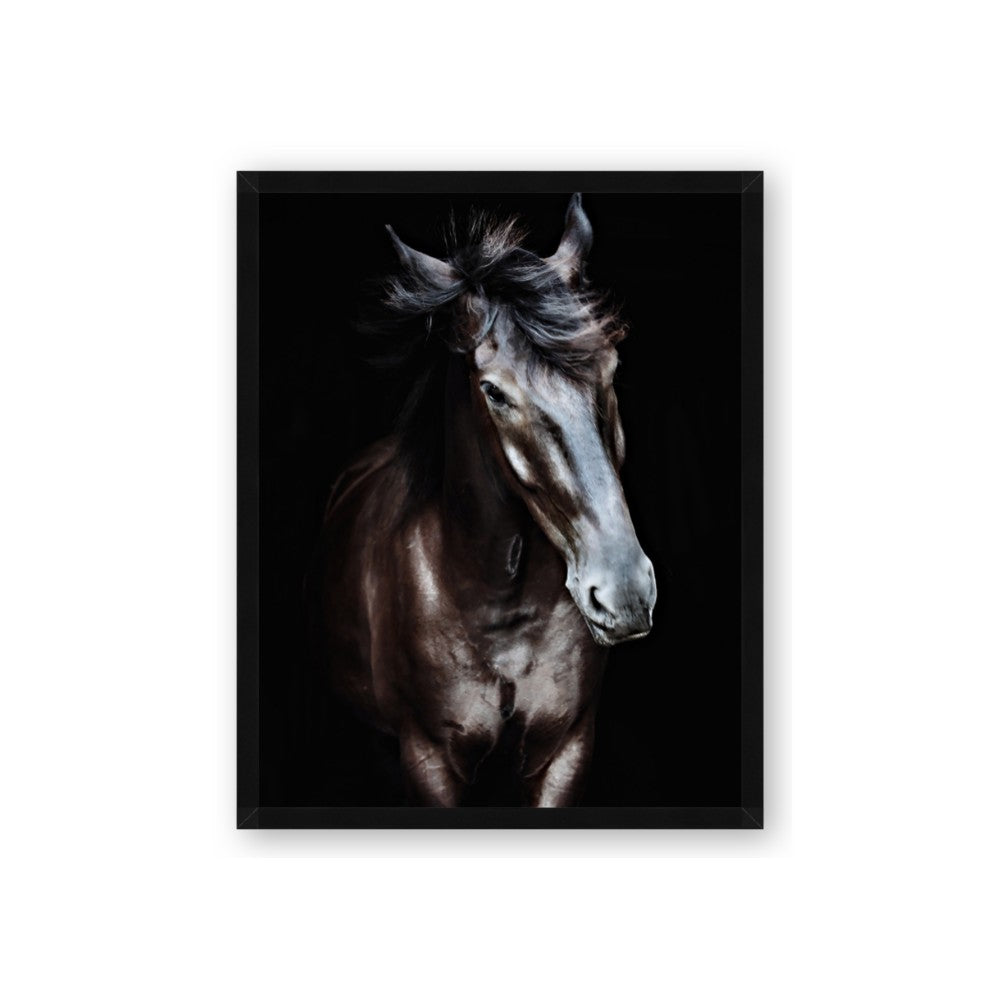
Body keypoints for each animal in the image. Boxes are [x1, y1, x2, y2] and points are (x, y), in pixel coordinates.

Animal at [307, 194, 657, 806]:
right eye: (493, 391)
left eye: (611, 366)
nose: (625, 593)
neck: (499, 607)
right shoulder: (428, 759)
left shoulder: (565, 751)